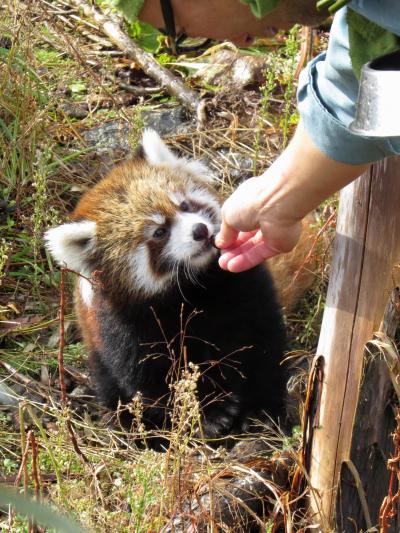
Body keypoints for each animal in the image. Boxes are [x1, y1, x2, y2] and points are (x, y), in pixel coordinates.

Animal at [45, 131, 286, 442]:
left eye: (184, 205)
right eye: (159, 232)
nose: (200, 231)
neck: (191, 290)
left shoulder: (243, 285)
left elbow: (263, 340)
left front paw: (261, 407)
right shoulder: (125, 326)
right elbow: (153, 379)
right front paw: (210, 414)